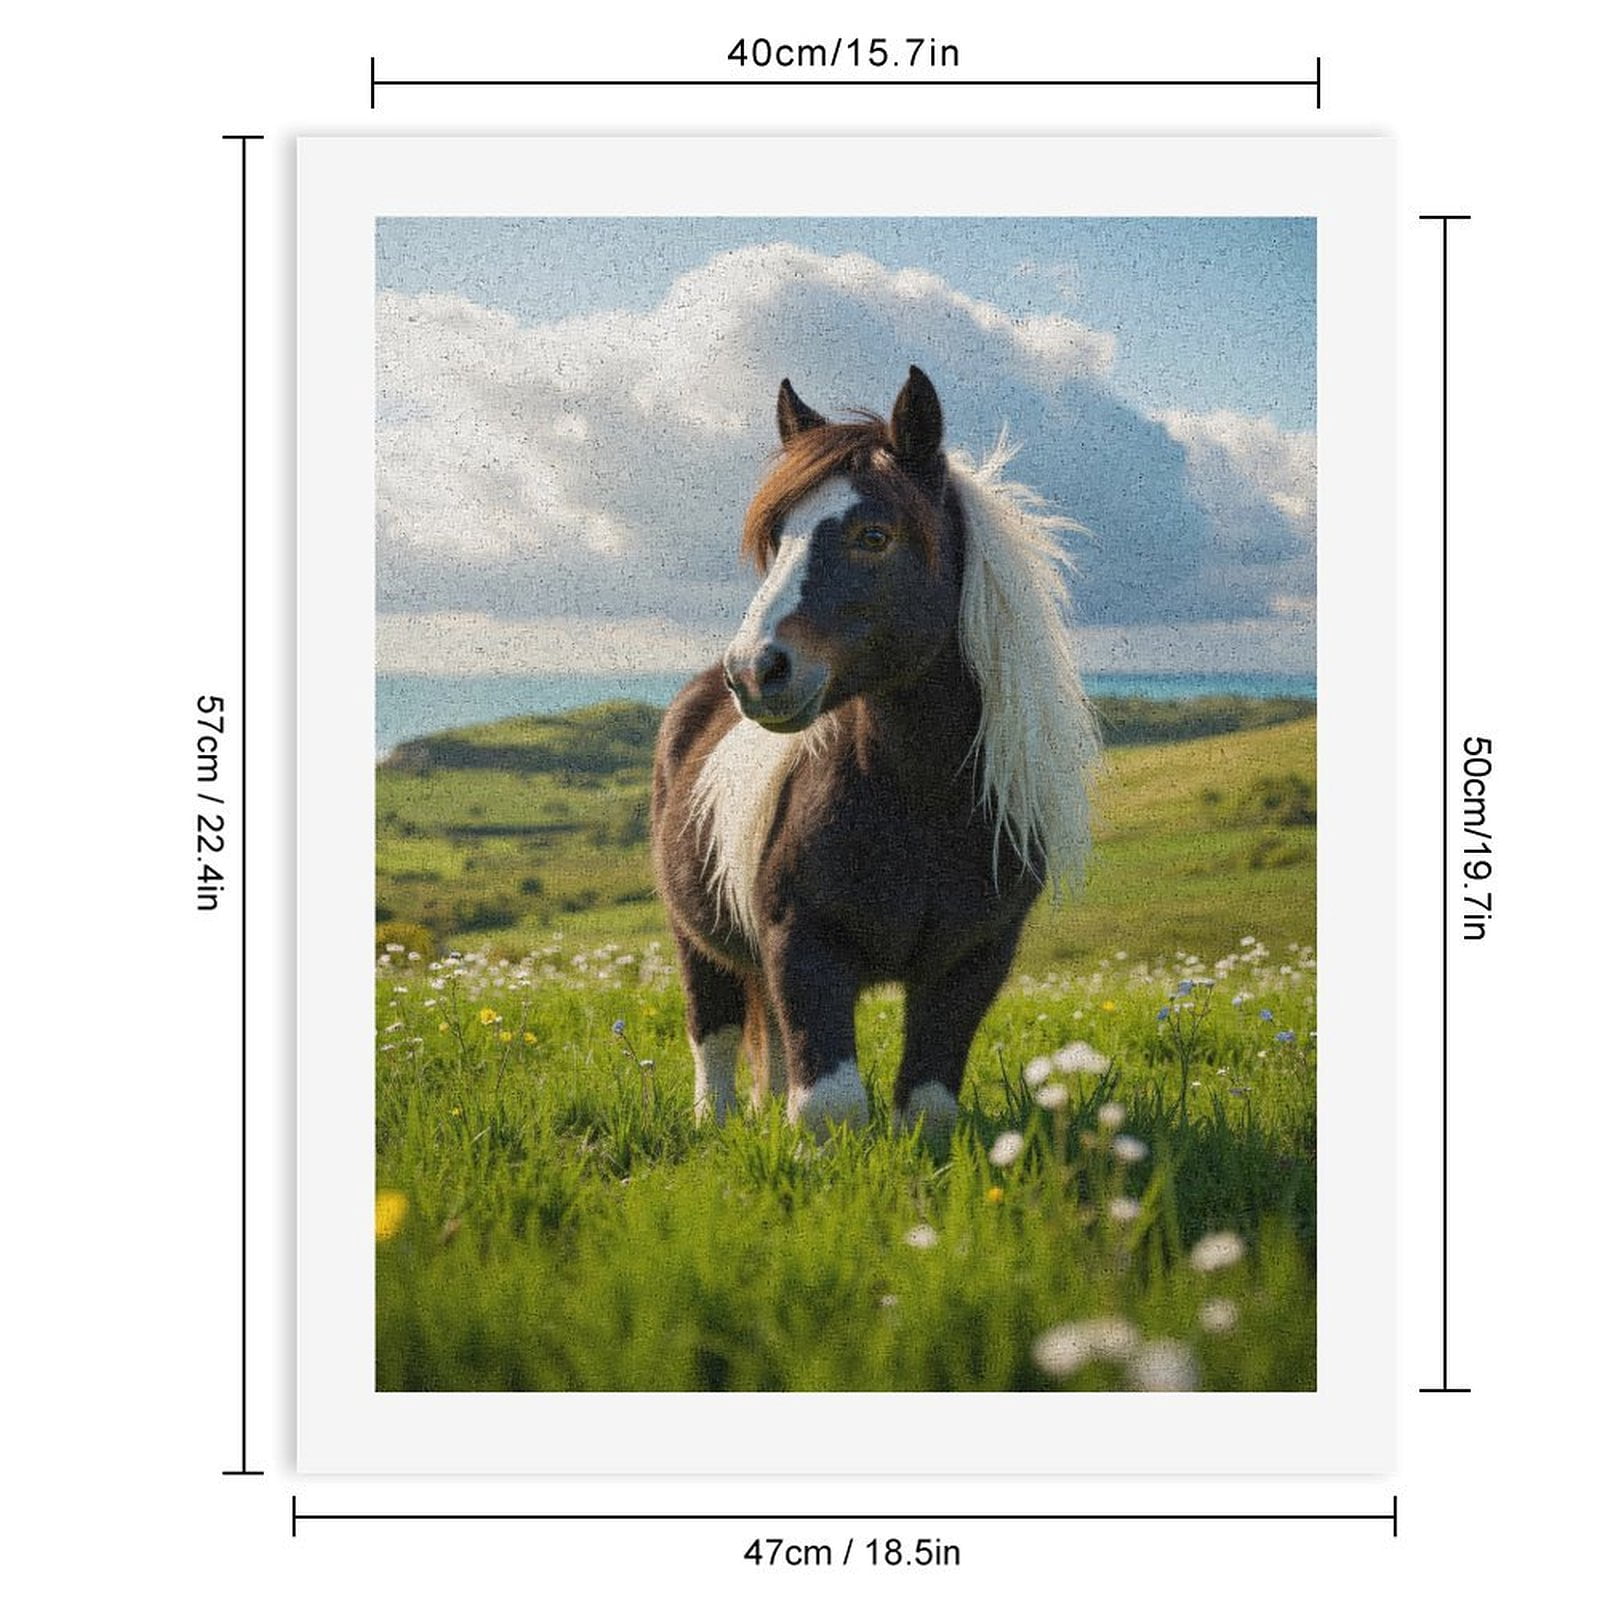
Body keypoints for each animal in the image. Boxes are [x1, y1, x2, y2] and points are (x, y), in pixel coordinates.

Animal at [649, 367, 1098, 1137]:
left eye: (875, 535)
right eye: (776, 537)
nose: (755, 672)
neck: (922, 802)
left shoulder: (972, 963)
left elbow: (926, 1105)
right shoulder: (804, 945)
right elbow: (828, 1105)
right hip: (694, 939)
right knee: (715, 1034)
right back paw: (717, 1122)